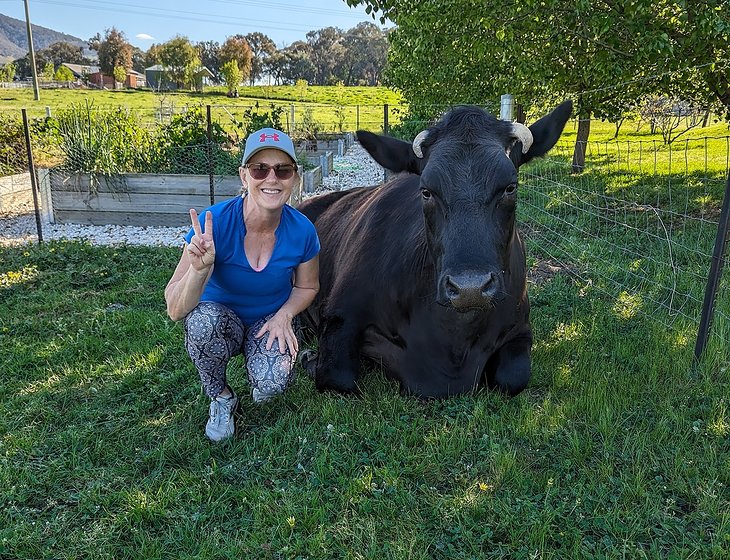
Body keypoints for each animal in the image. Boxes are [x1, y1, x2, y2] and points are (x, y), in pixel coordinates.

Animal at [297, 101, 573, 398]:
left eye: (510, 187)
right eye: (426, 191)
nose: (470, 288)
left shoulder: (520, 327)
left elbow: (513, 378)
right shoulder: (340, 314)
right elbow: (337, 378)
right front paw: (310, 360)